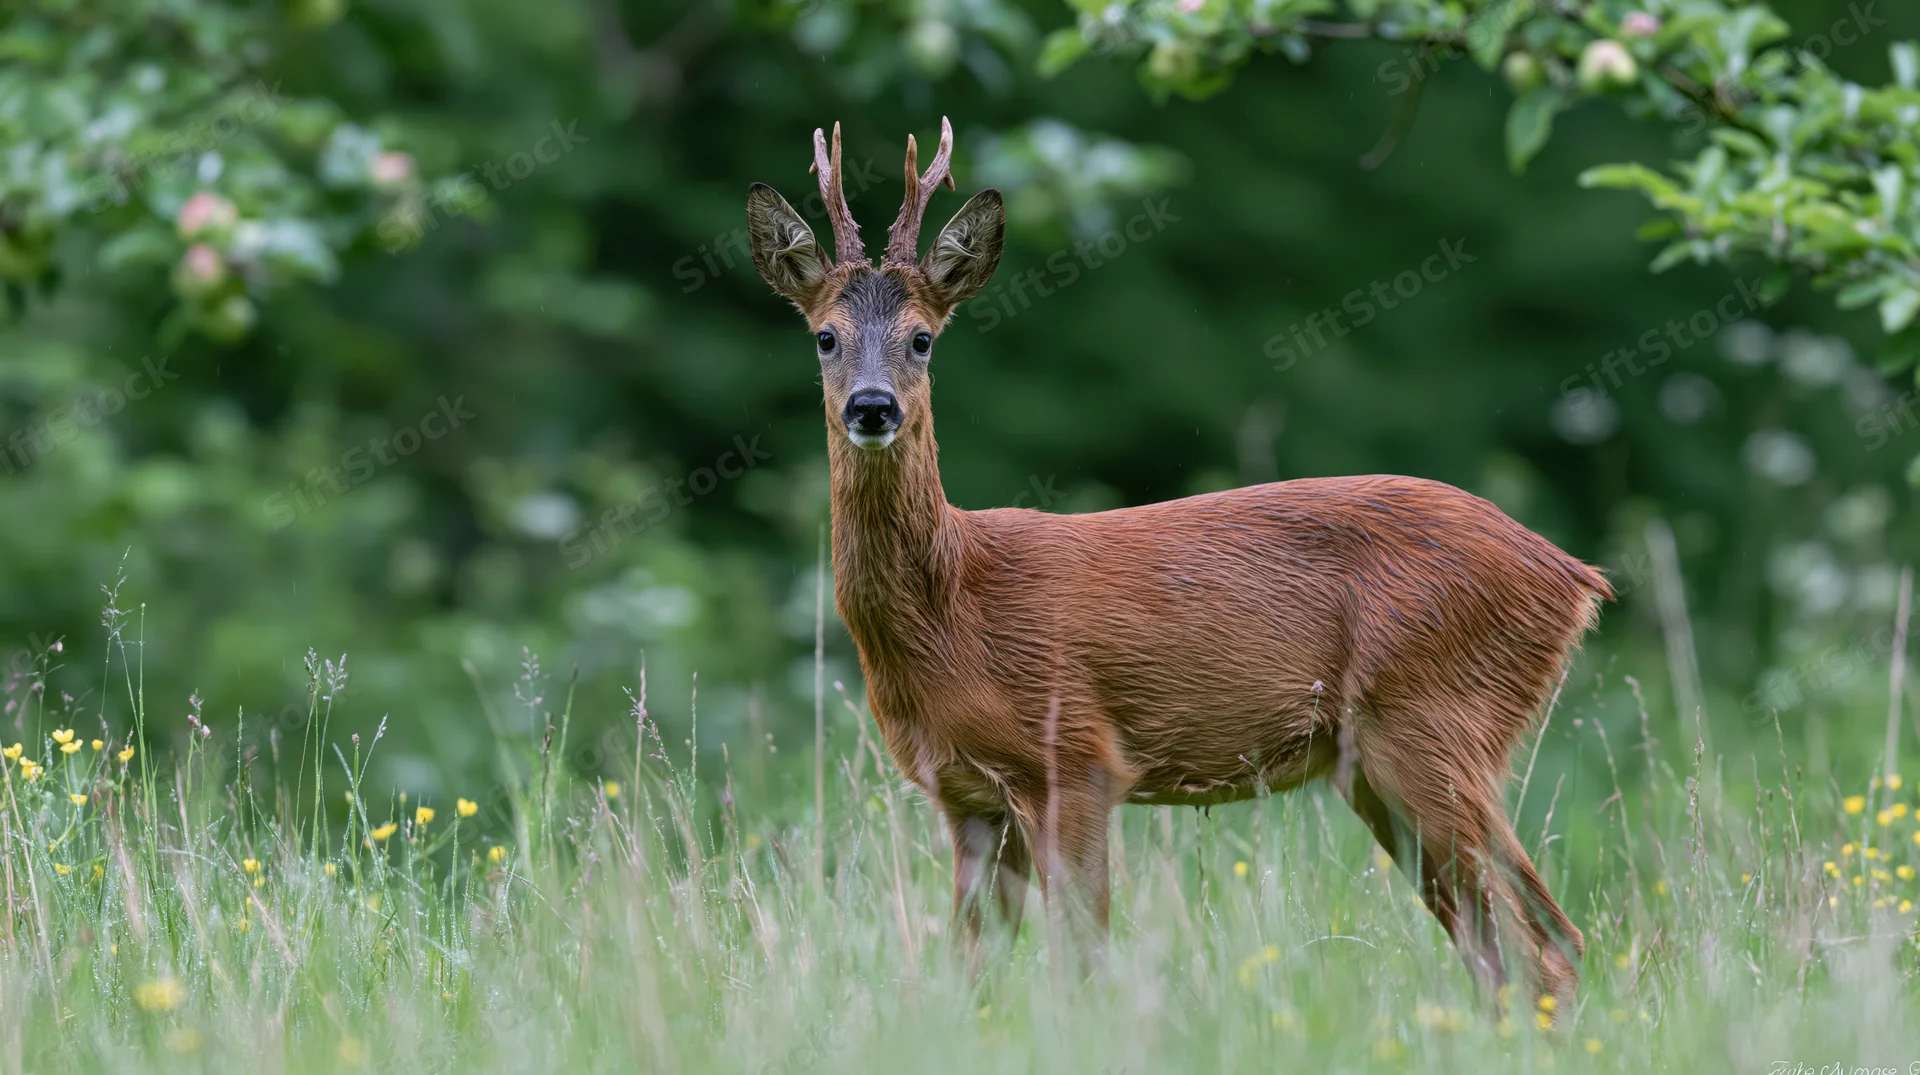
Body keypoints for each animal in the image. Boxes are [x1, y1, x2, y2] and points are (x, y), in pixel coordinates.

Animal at [744, 117, 1610, 1004]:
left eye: (922, 337)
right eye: (825, 336)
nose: (872, 407)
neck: (953, 606)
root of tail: (1575, 575)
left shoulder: (1076, 755)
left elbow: (1082, 957)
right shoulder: (967, 794)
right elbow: (971, 969)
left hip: (1436, 718)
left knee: (1546, 940)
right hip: (1387, 761)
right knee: (1502, 943)